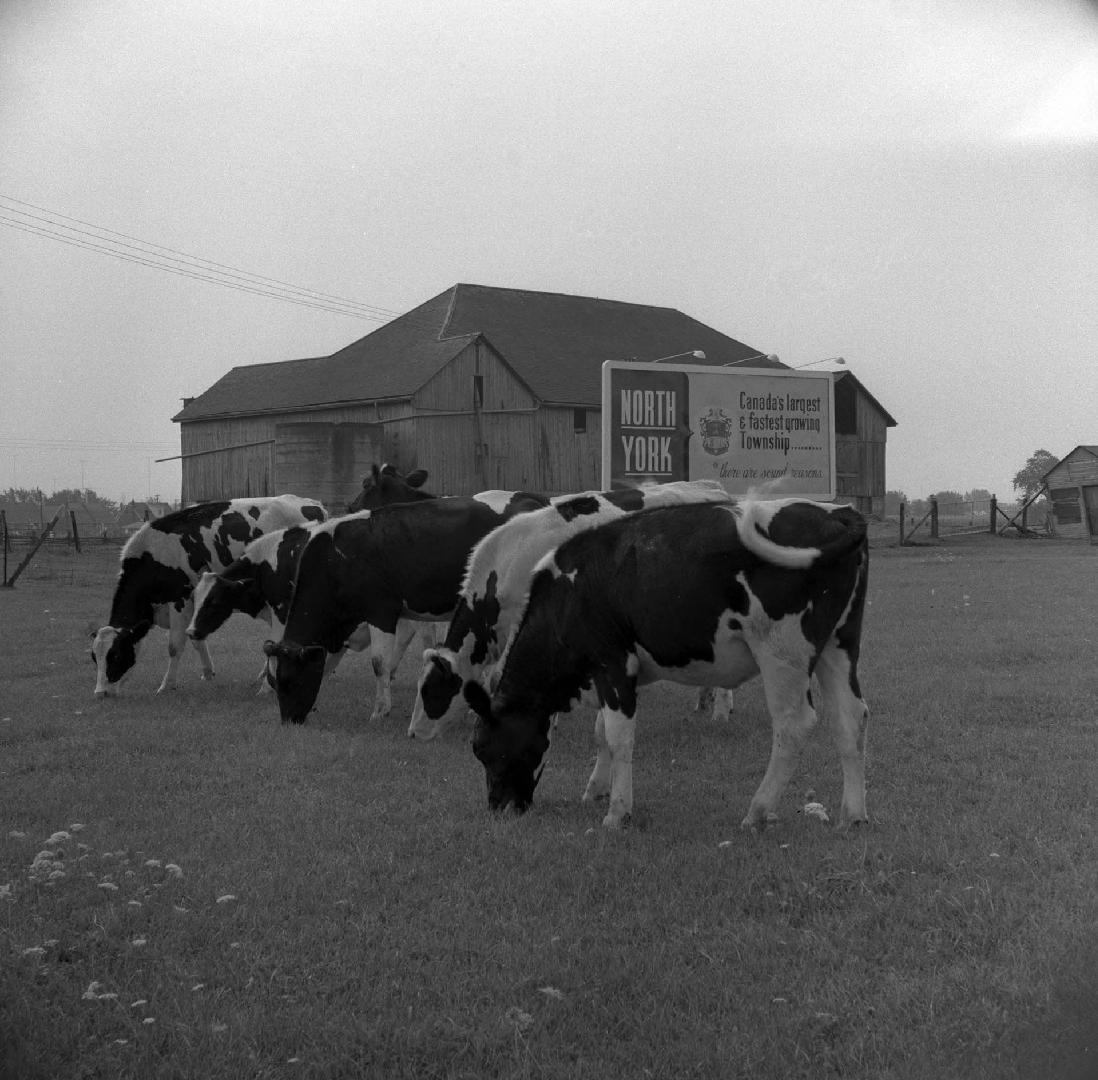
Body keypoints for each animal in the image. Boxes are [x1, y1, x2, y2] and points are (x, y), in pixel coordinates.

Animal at [90, 493, 325, 698]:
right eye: (94, 657)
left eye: (115, 655)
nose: (101, 694)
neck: (152, 558)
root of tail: (310, 502)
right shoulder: (194, 607)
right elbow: (197, 640)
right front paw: (208, 672)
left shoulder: (180, 601)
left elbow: (175, 646)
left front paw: (166, 685)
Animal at [262, 493, 553, 720]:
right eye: (275, 682)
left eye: (289, 682)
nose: (289, 720)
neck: (338, 559)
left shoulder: (381, 611)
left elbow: (379, 662)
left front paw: (380, 710)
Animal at [461, 493, 865, 829]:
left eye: (485, 750)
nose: (499, 807)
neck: (571, 592)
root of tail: (834, 513)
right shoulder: (606, 676)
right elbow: (602, 733)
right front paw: (596, 791)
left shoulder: (613, 665)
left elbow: (619, 738)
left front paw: (617, 812)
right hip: (839, 645)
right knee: (850, 717)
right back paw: (853, 815)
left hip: (782, 653)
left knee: (794, 725)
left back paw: (758, 811)